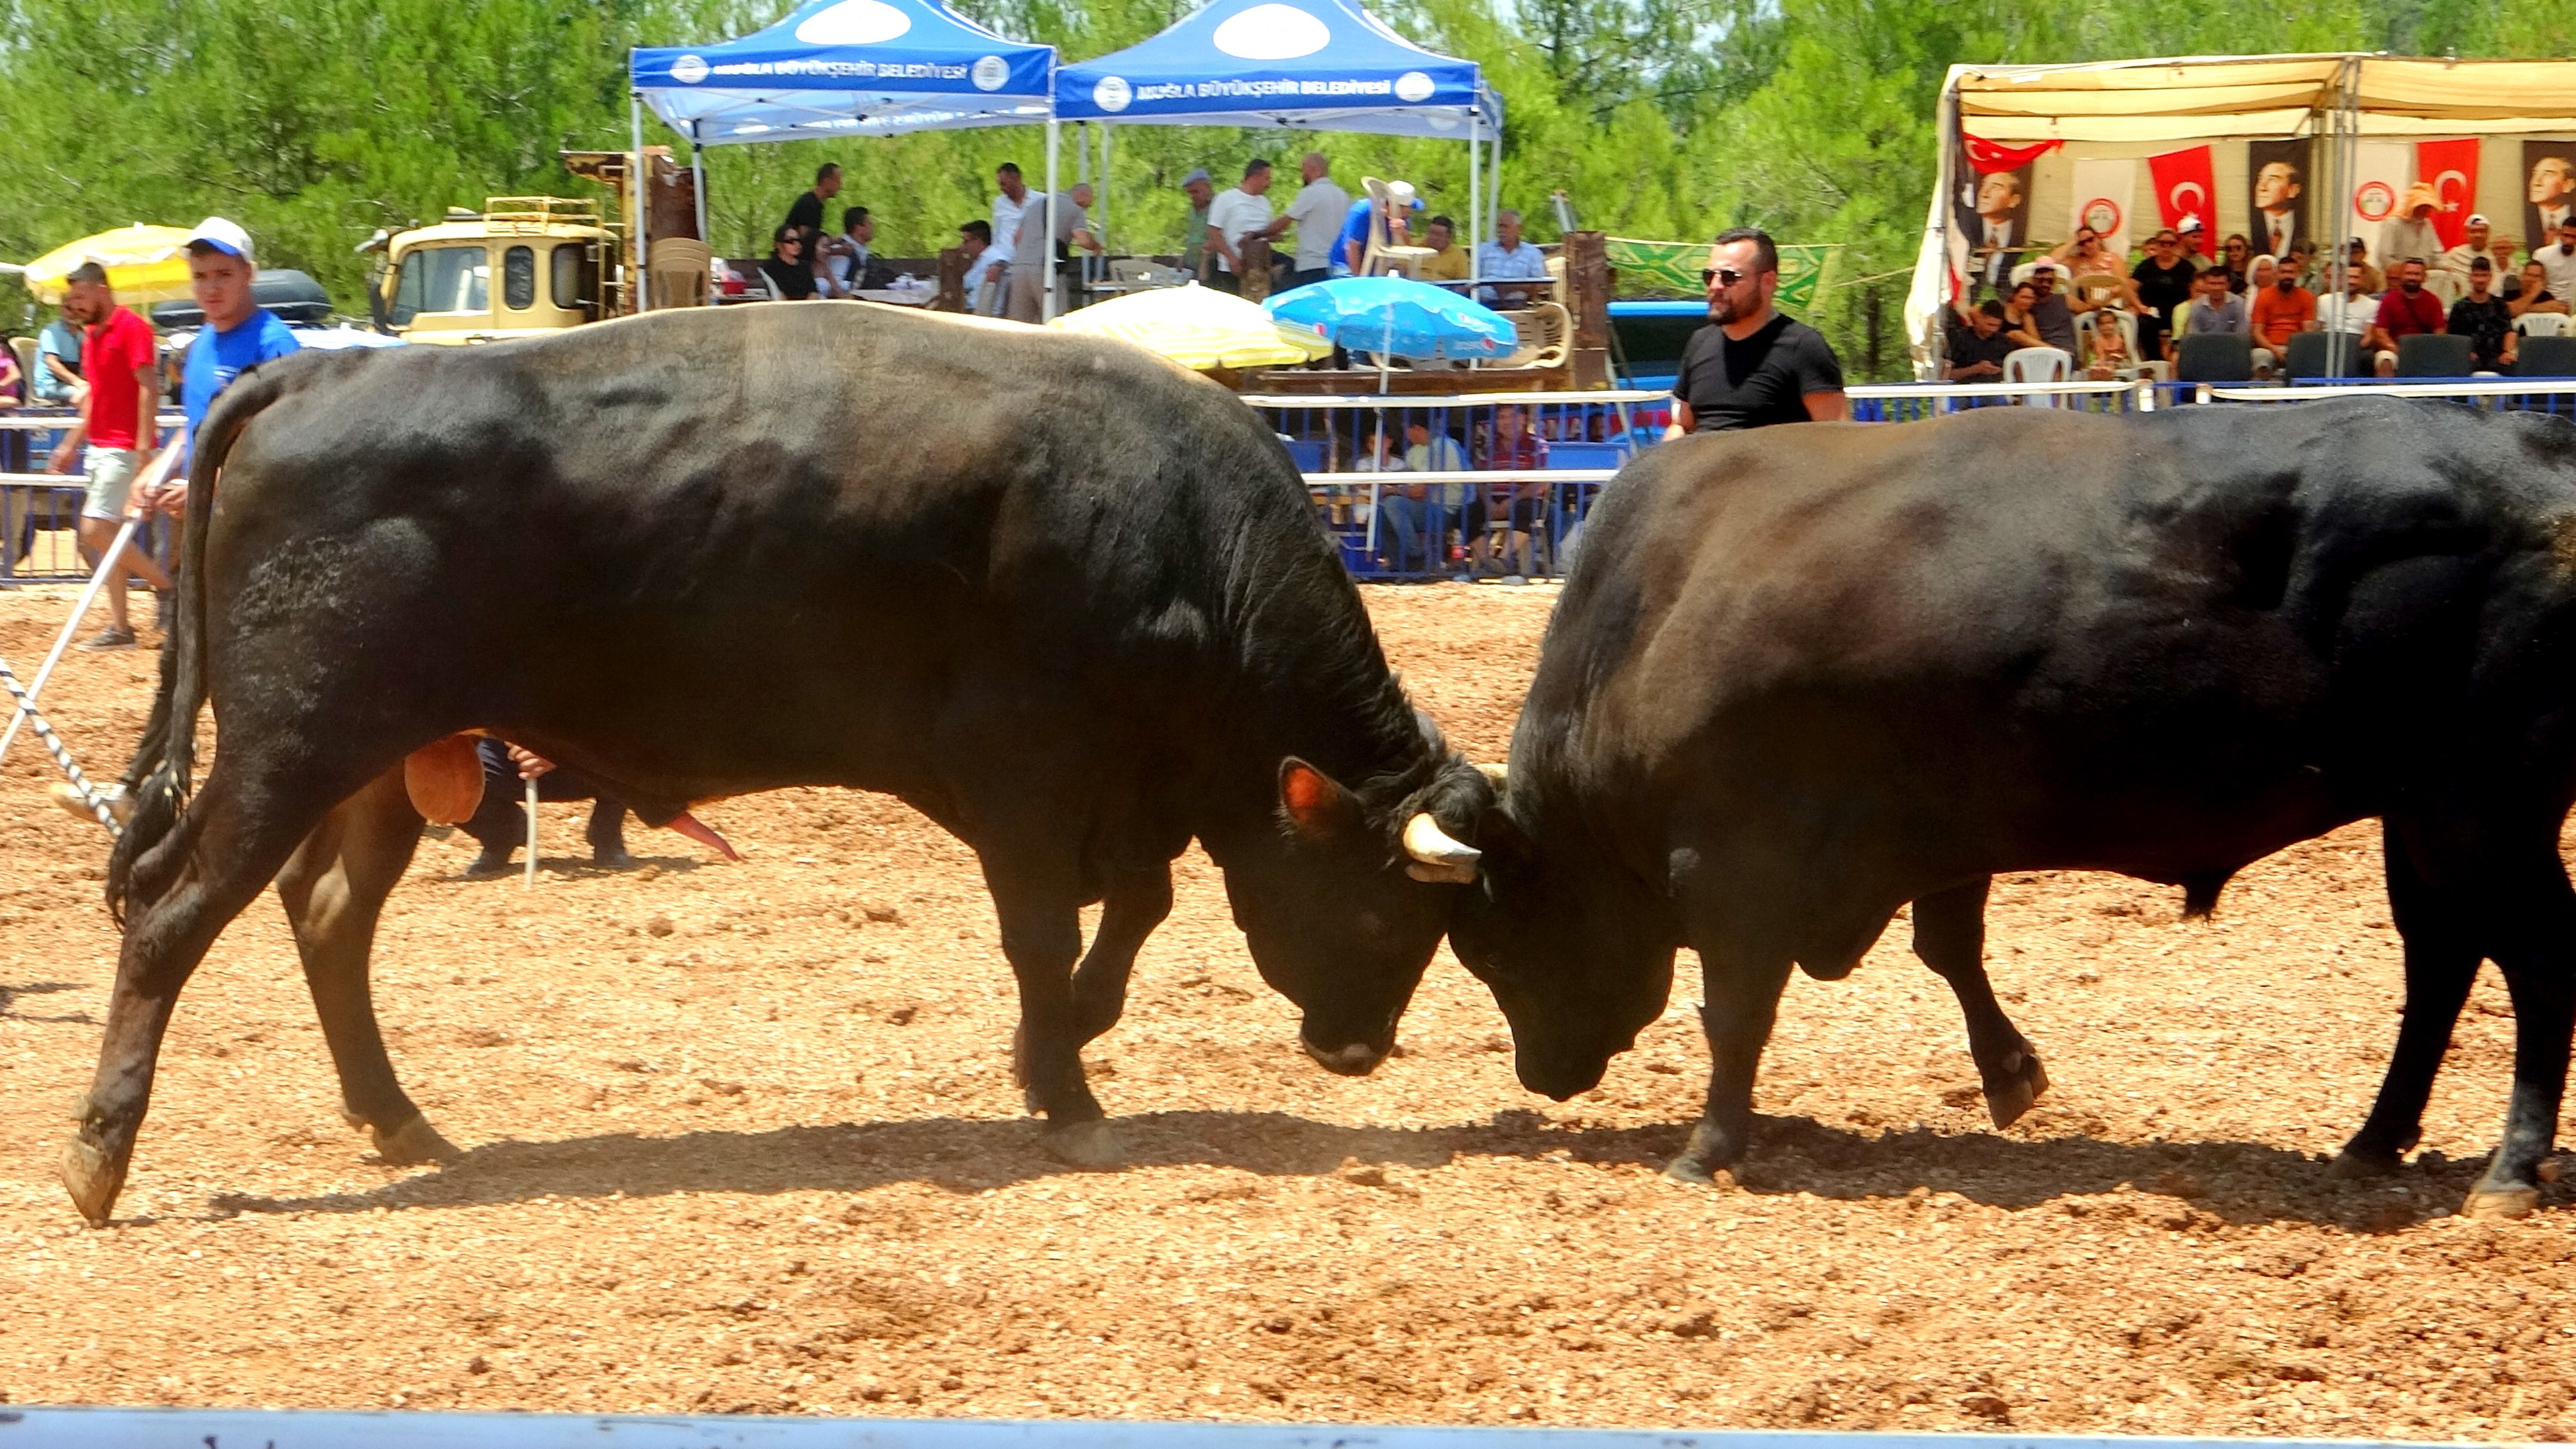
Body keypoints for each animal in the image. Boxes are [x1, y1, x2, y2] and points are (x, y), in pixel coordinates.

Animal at [70, 301, 1504, 1217]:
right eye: (1389, 914)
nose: (1359, 1052)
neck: (1184, 541)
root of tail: (318, 375)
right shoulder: (1025, 781)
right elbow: (1047, 934)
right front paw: (1067, 1090)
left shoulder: (1122, 793)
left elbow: (1135, 910)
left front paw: (1065, 1042)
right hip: (292, 745)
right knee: (171, 914)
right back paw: (100, 1157)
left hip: (380, 757)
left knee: (327, 915)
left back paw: (398, 1117)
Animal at [1452, 396, 2576, 1217]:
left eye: (1493, 947)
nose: (1541, 1075)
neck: (1652, 612)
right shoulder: (1935, 832)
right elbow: (1949, 947)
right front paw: (2011, 1074)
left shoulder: (1736, 865)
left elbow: (1736, 1013)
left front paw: (1709, 1147)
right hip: (2424, 821)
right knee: (2440, 962)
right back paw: (2374, 1141)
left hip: (2482, 814)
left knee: (2534, 964)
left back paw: (2511, 1170)